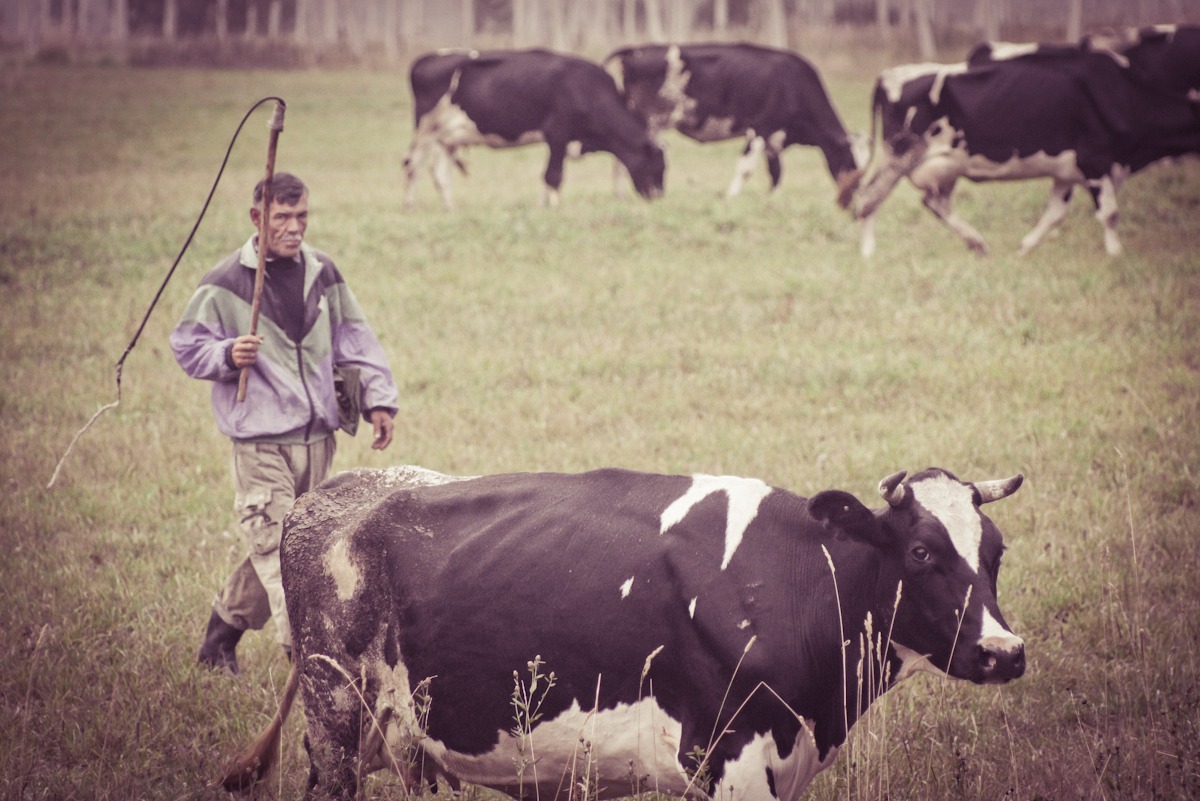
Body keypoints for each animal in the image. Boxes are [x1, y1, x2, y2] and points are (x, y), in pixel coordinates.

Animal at [223, 462, 1022, 801]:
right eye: (921, 553)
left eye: (995, 550)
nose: (1005, 652)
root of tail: (329, 494)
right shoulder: (729, 761)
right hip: (334, 714)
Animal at [403, 47, 667, 208]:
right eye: (657, 166)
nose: (658, 197)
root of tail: (426, 59)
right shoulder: (558, 134)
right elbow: (554, 175)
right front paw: (556, 208)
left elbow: (546, 176)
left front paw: (543, 207)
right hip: (425, 131)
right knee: (412, 166)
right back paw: (410, 207)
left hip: (448, 139)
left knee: (440, 174)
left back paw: (451, 209)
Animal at [604, 42, 868, 201]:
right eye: (850, 162)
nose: (857, 196)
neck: (794, 85)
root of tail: (636, 50)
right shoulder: (760, 129)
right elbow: (746, 168)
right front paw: (731, 197)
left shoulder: (774, 138)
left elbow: (776, 172)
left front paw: (773, 199)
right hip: (649, 121)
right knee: (623, 158)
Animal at [849, 40, 1200, 256]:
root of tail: (889, 74)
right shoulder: (1095, 160)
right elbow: (1110, 214)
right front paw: (1115, 255)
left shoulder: (1067, 171)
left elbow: (1054, 214)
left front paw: (1024, 248)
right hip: (900, 155)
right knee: (867, 199)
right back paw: (868, 252)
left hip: (946, 164)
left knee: (935, 204)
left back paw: (977, 243)